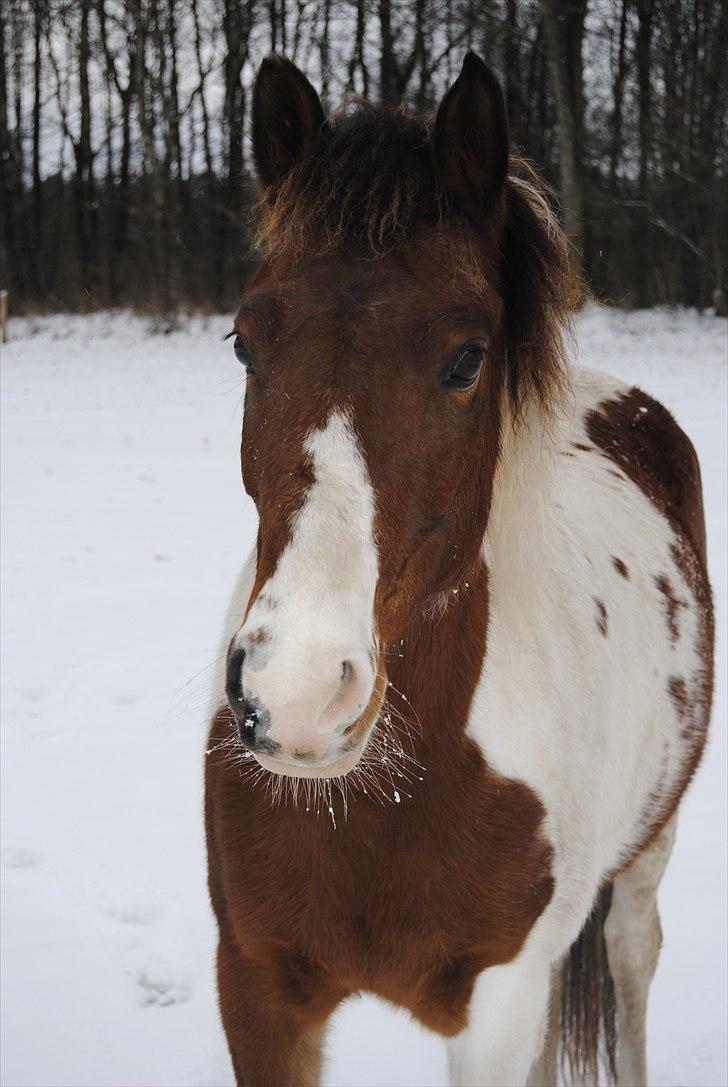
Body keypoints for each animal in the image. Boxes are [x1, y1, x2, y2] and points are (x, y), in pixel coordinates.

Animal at [204, 52, 712, 1087]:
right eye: (244, 341)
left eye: (468, 358)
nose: (298, 695)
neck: (379, 801)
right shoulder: (256, 988)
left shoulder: (501, 1008)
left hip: (647, 852)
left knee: (634, 961)